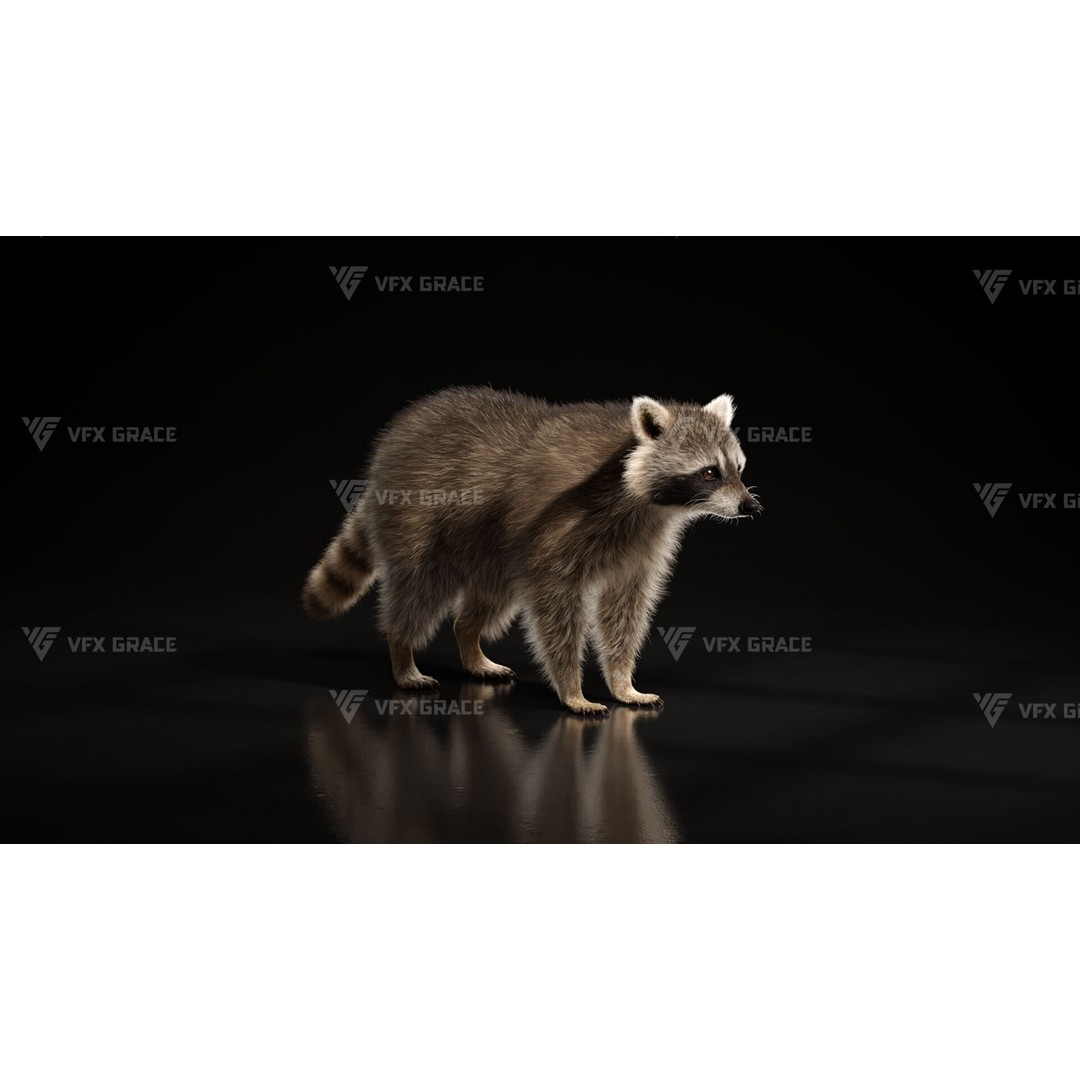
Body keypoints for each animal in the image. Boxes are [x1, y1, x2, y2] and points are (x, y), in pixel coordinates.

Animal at [302, 387, 761, 715]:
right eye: (709, 472)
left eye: (738, 468)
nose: (750, 506)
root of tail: (385, 455)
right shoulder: (560, 525)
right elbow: (556, 606)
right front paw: (572, 688)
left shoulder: (642, 544)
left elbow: (624, 609)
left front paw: (621, 681)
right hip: (417, 520)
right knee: (419, 591)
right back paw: (402, 652)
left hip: (490, 547)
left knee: (489, 598)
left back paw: (469, 640)